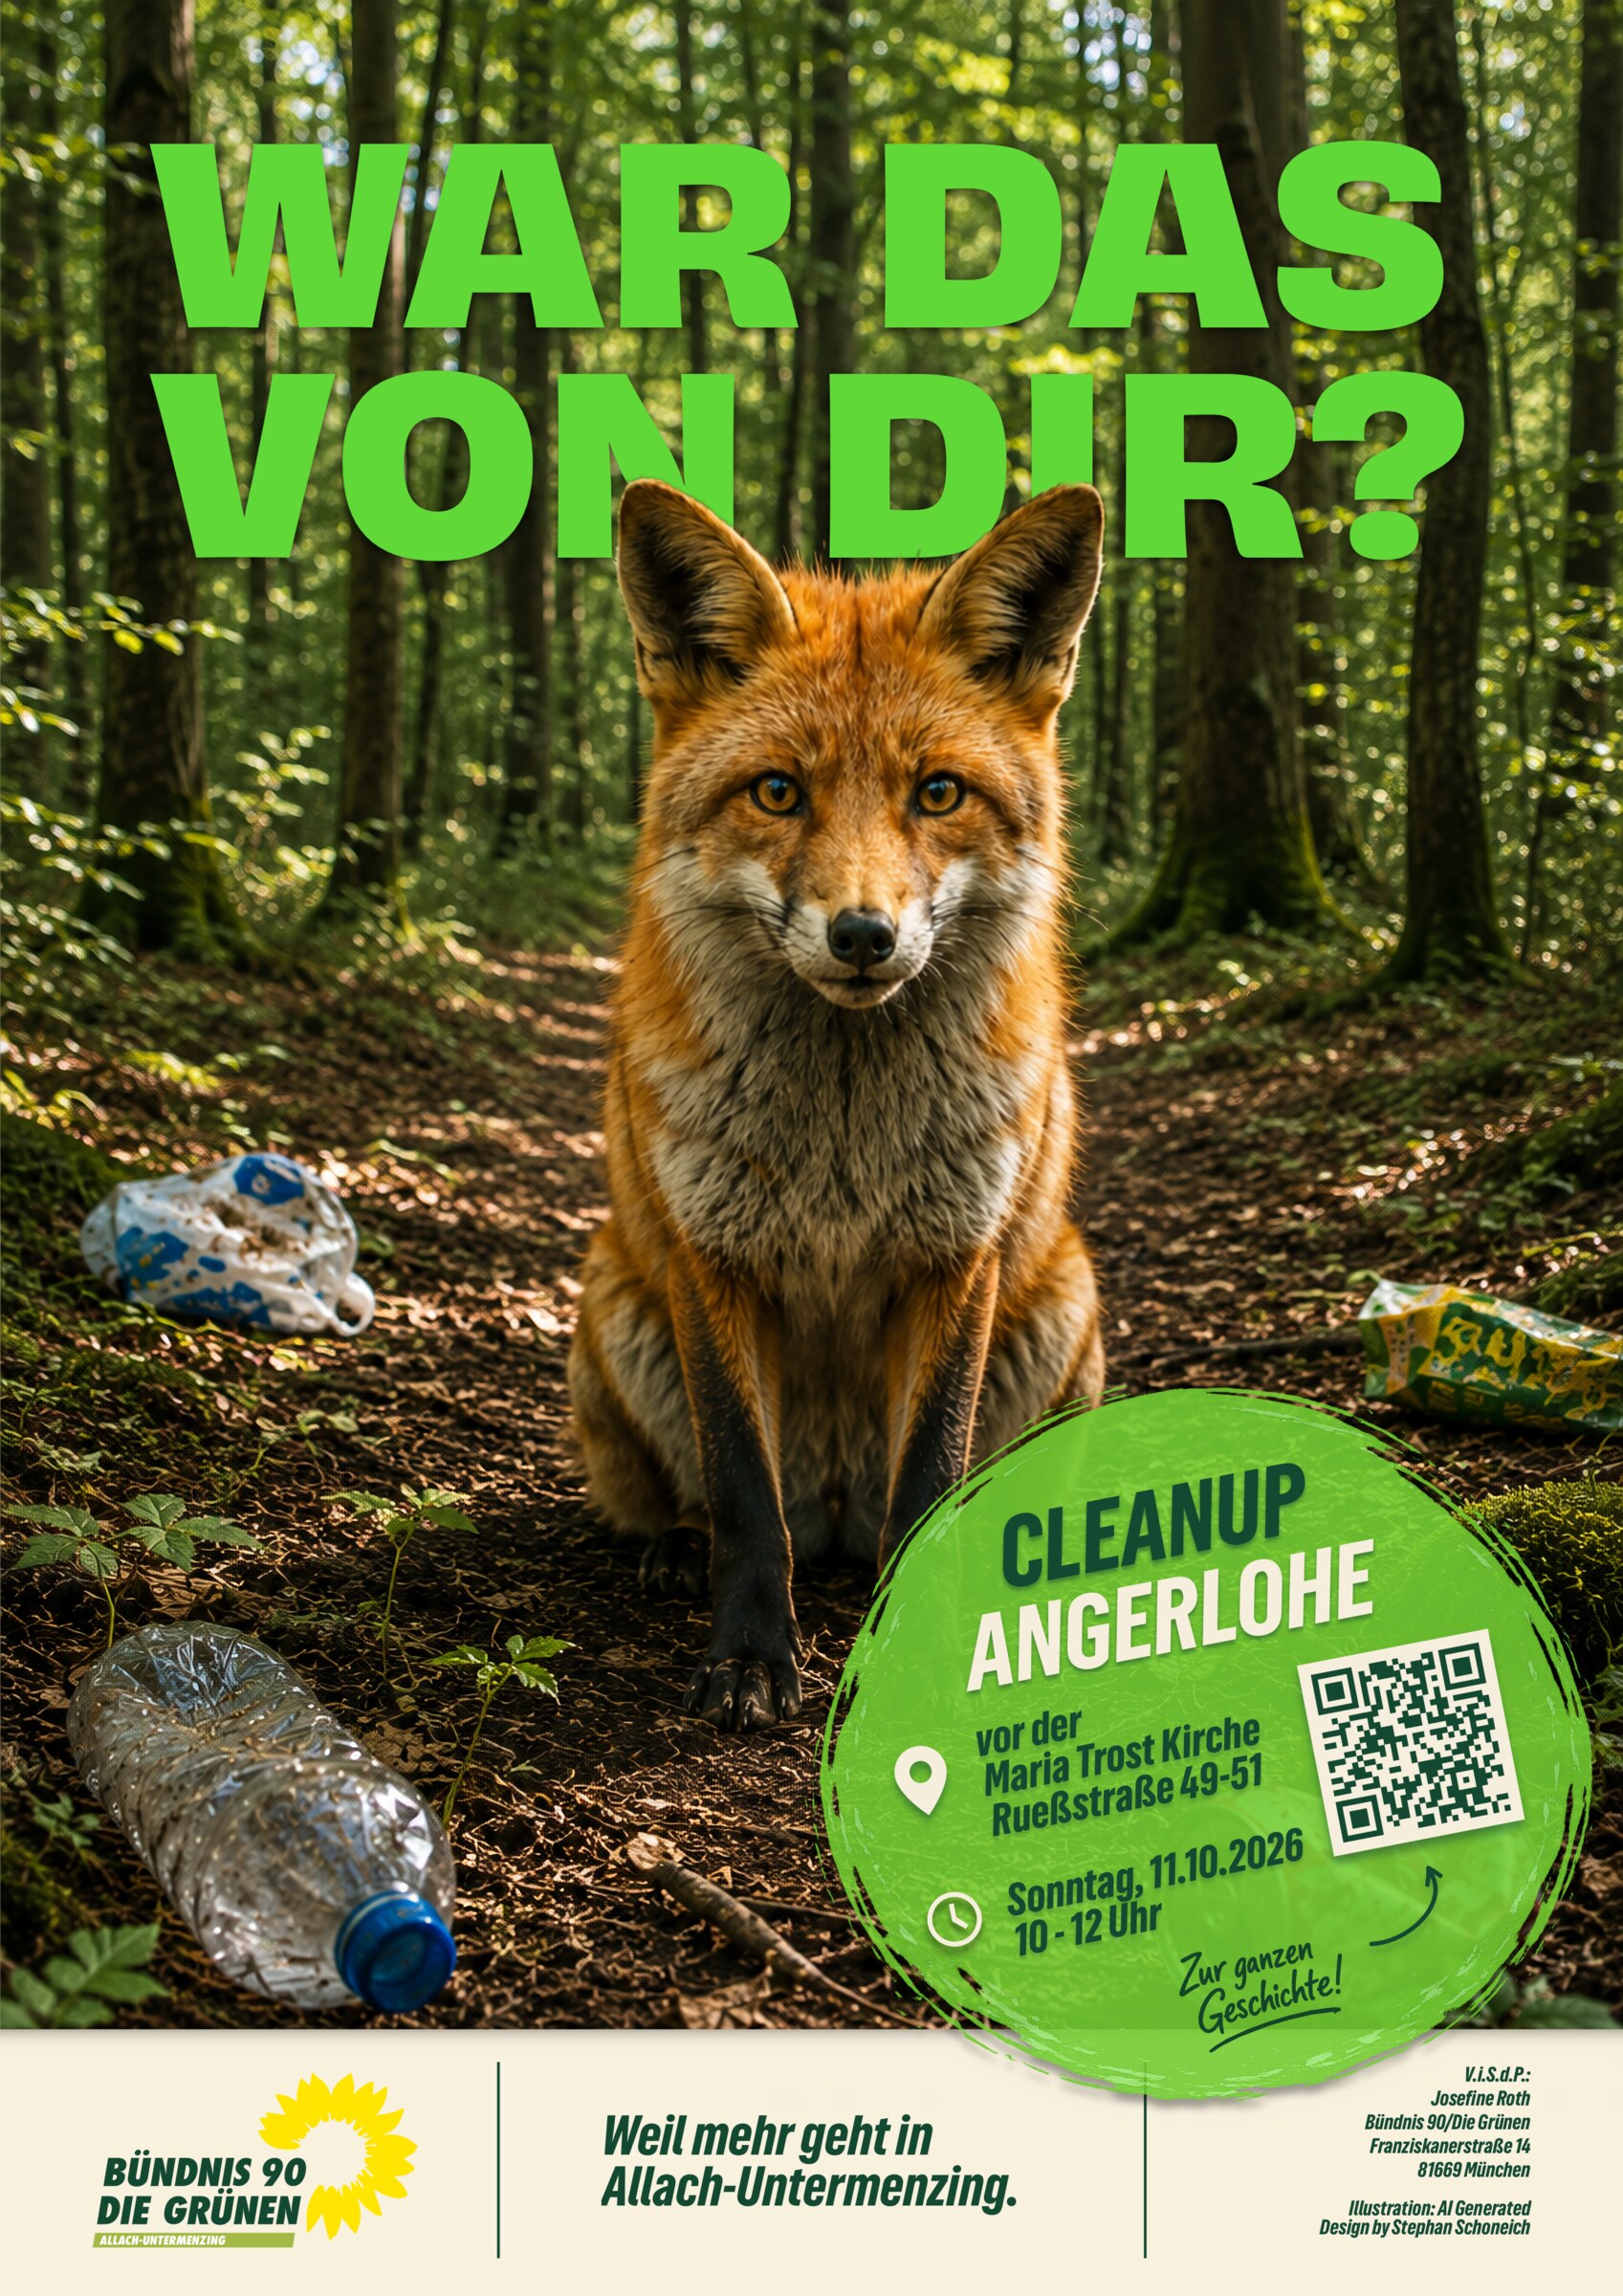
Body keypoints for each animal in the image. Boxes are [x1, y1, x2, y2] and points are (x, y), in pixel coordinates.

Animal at [567, 476, 1107, 1733]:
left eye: (937, 792)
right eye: (777, 792)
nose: (863, 935)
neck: (844, 1144)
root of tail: (832, 1521)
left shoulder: (955, 1256)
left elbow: (931, 1482)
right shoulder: (712, 1259)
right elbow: (740, 1493)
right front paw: (749, 1661)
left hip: (1063, 1309)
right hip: (614, 1301)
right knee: (706, 1504)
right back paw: (673, 1545)